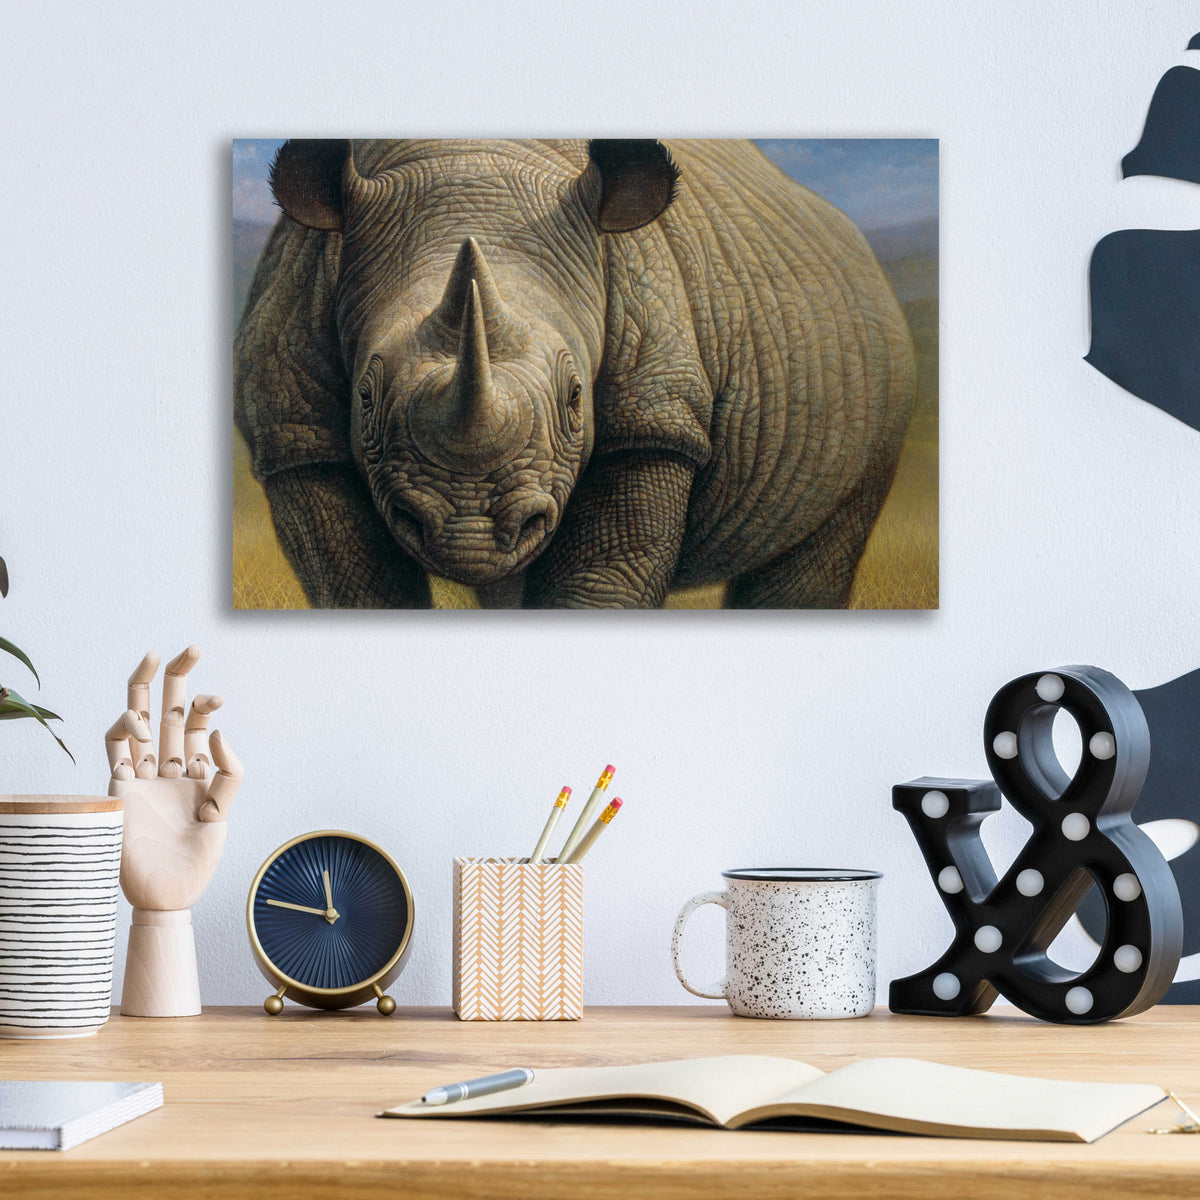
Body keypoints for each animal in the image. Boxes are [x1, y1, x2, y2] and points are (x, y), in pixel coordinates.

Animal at [234, 139, 915, 608]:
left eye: (575, 396)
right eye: (366, 396)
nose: (470, 532)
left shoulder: (655, 417)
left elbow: (601, 580)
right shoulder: (294, 431)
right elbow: (353, 583)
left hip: (875, 360)